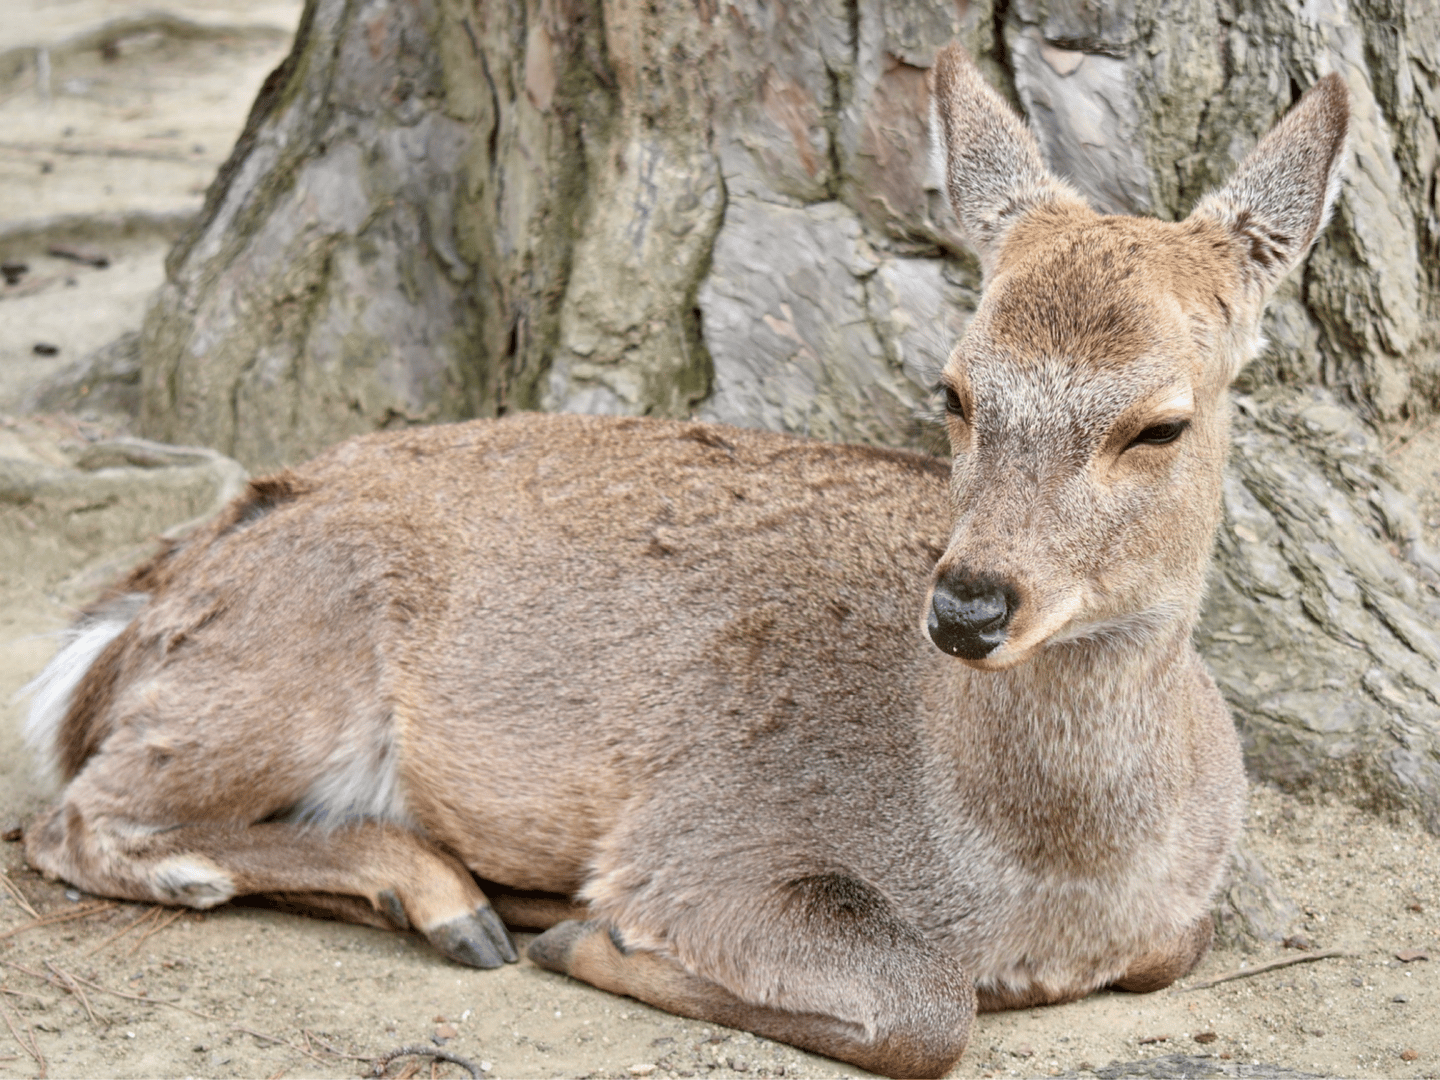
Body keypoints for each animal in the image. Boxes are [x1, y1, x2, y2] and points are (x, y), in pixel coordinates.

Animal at [20, 44, 1347, 1078]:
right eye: (956, 391)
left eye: (1160, 424)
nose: (970, 605)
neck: (1049, 882)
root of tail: (145, 598)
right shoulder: (707, 840)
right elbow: (925, 1008)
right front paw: (588, 936)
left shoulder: (1175, 918)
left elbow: (1175, 951)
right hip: (281, 659)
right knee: (78, 817)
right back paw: (455, 905)